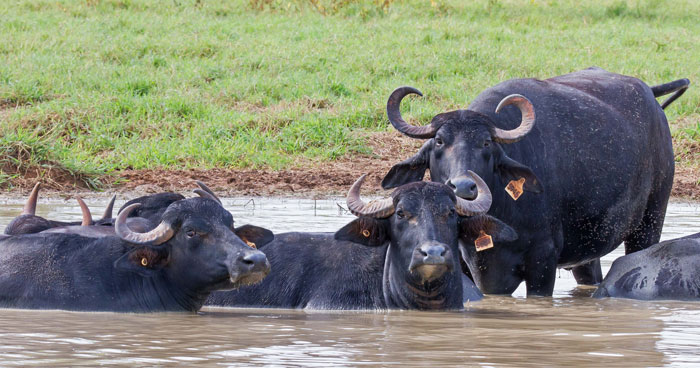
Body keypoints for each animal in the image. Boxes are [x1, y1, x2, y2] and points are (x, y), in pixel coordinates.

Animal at [380, 67, 688, 296]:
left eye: (487, 143)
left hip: (650, 220)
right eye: (440, 141)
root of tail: (650, 95)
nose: (464, 187)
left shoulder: (543, 261)